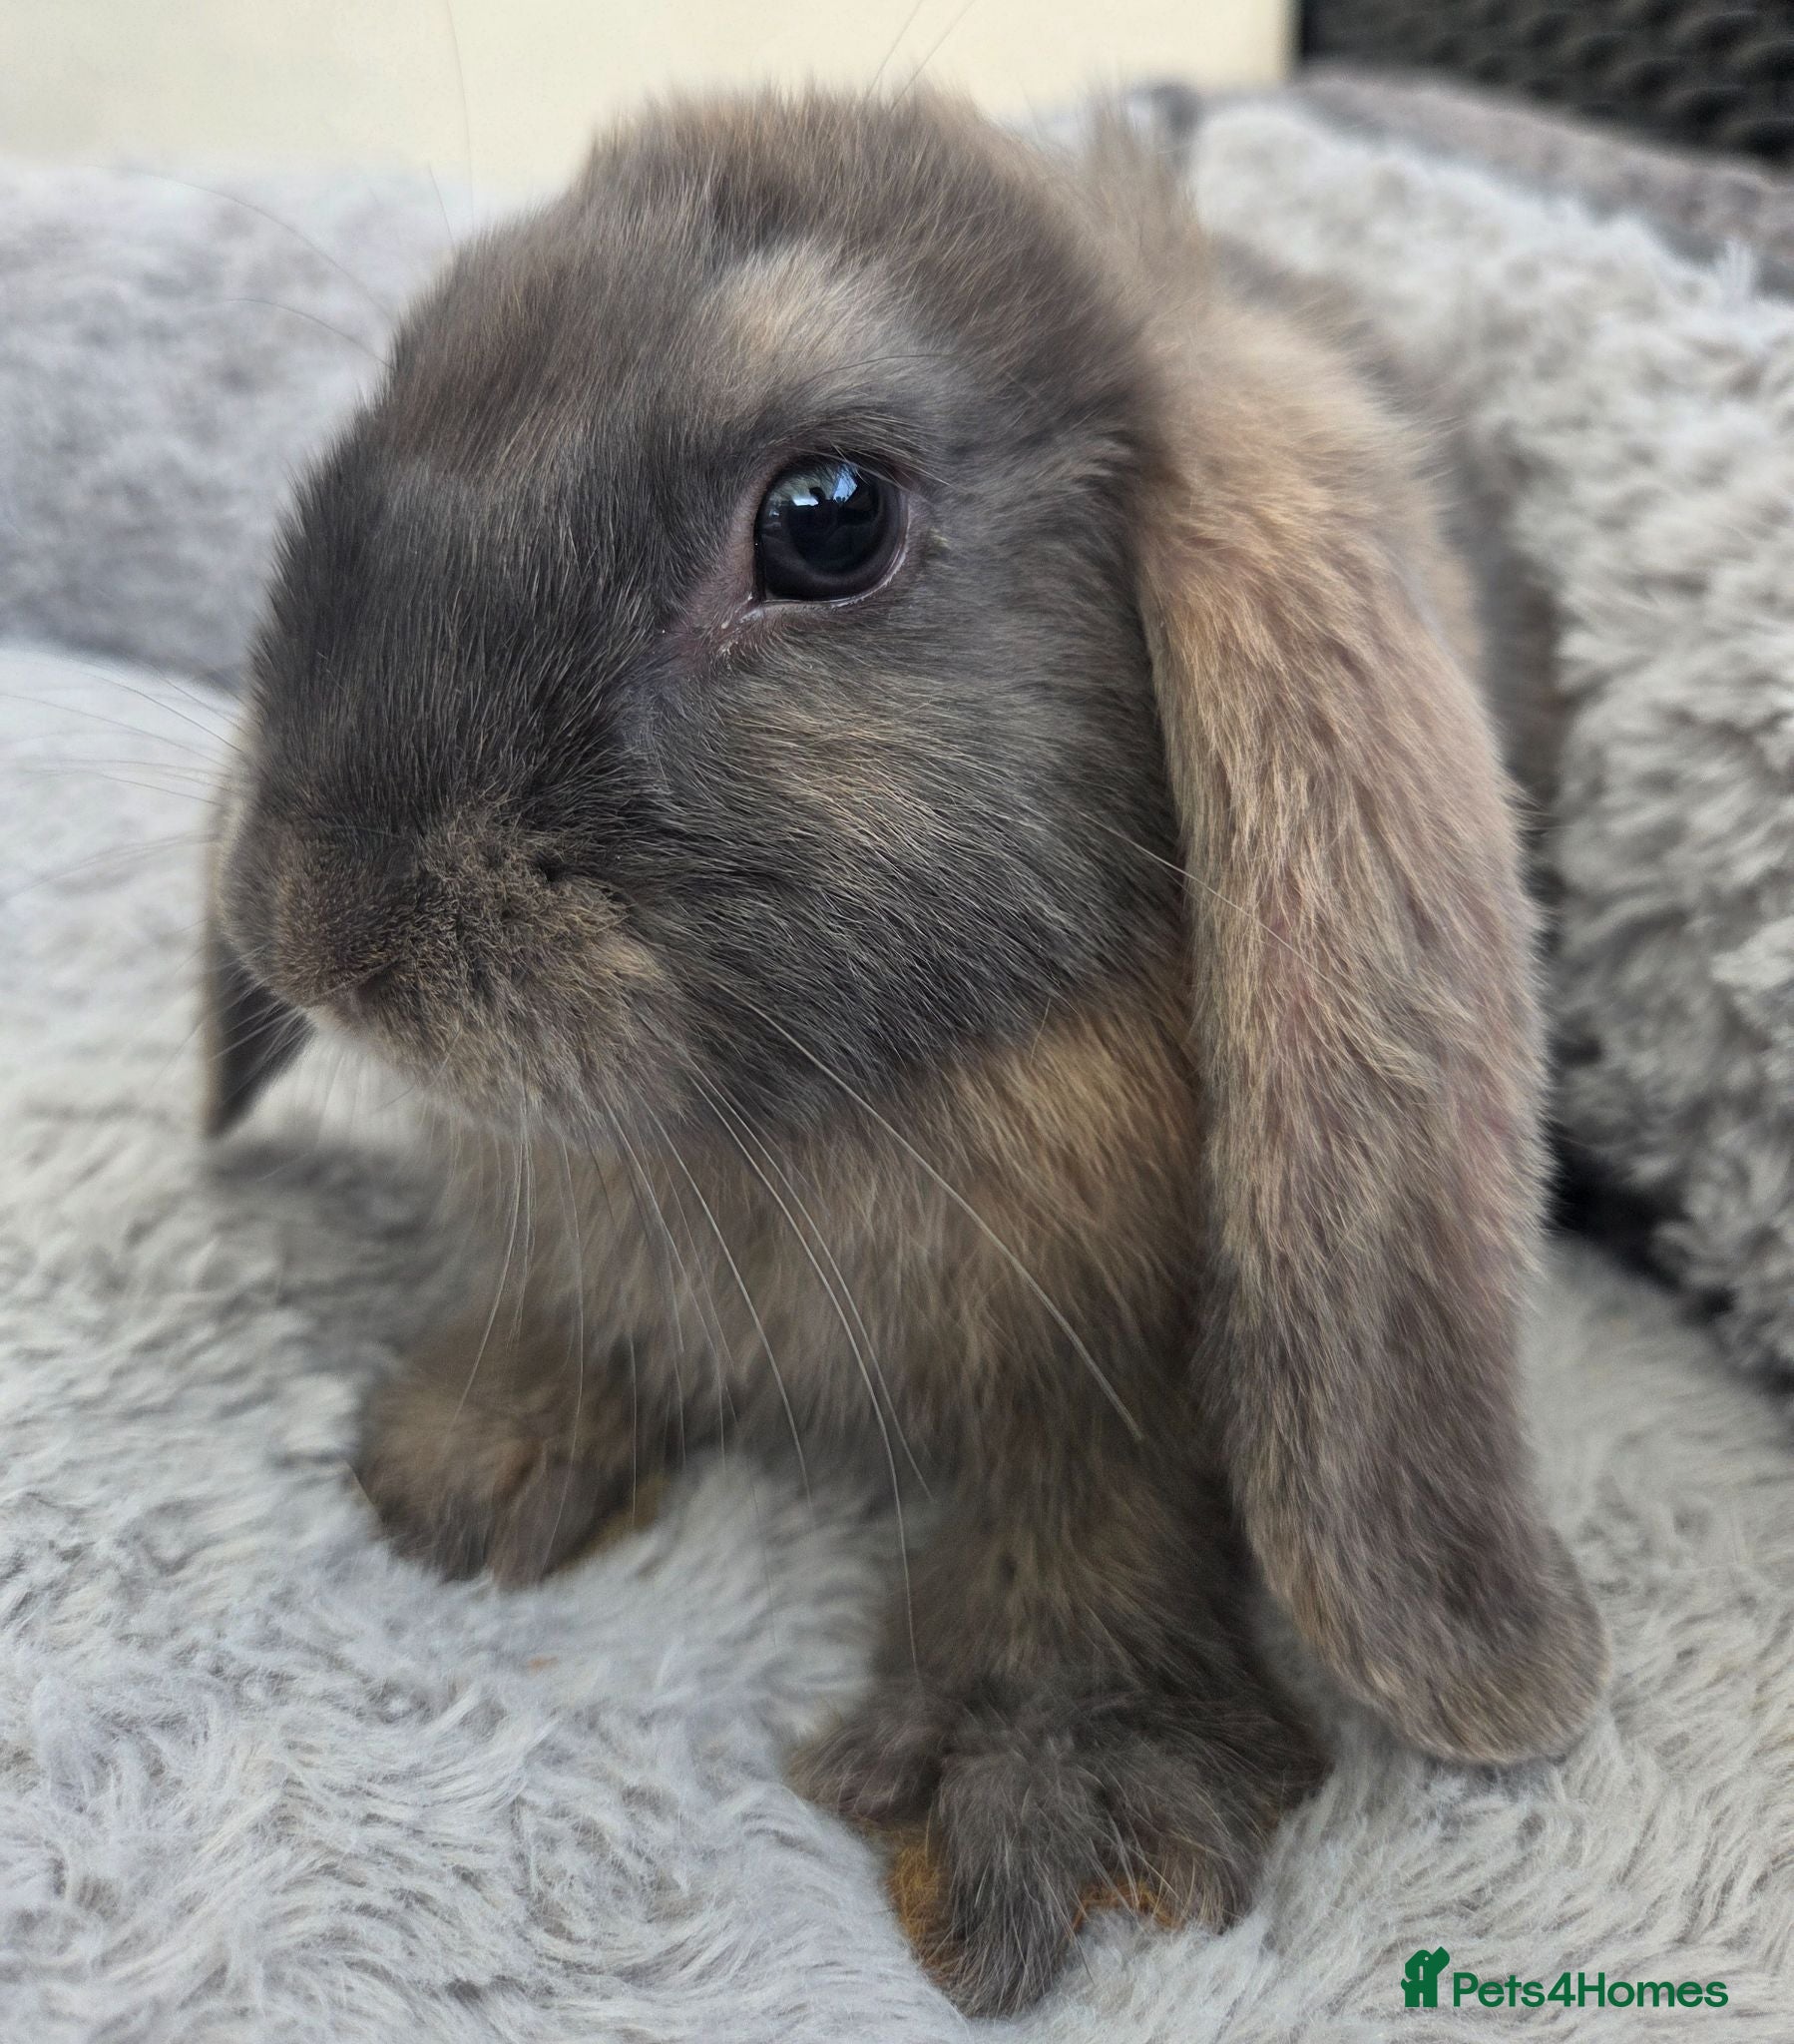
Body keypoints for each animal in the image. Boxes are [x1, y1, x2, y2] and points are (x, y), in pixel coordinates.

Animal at [201, 90, 1610, 2016]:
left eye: (826, 521)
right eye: (411, 372)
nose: (319, 928)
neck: (811, 1117)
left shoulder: (1115, 1373)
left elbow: (1093, 1506)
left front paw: (1048, 1792)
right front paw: (465, 1466)